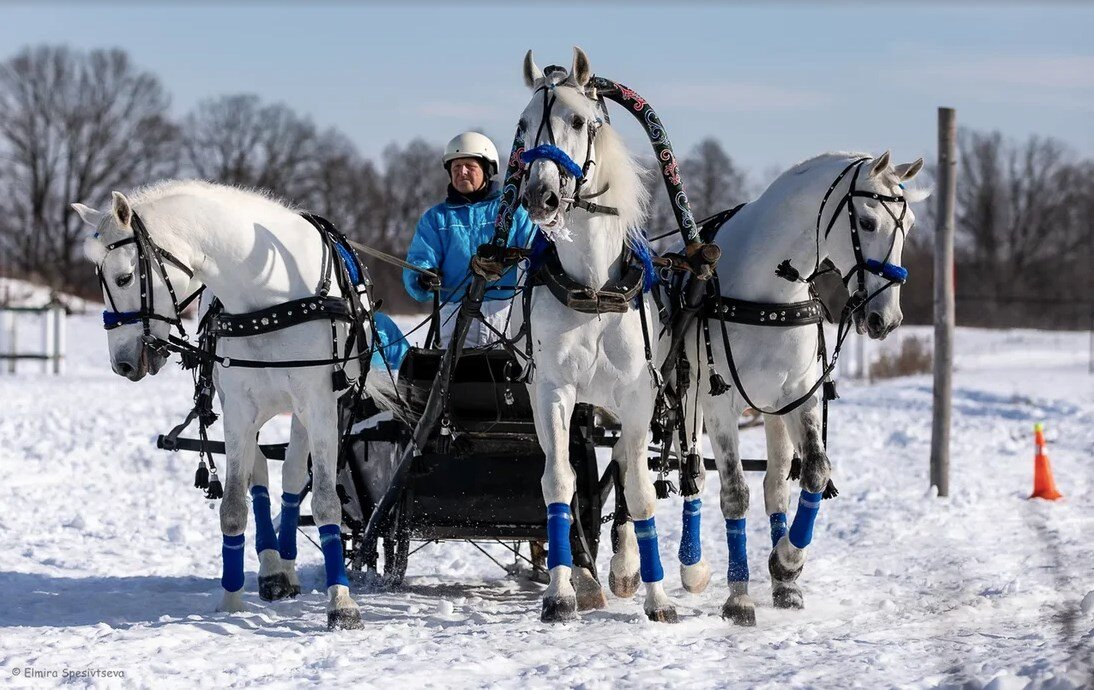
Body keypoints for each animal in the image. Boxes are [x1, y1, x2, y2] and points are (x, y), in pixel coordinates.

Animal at [72, 179, 391, 629]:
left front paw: (342, 604)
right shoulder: (239, 408)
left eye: (125, 276)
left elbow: (325, 502)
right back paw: (275, 570)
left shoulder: (318, 404)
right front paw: (231, 602)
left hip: (304, 412)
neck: (268, 296)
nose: (124, 363)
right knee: (260, 475)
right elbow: (235, 505)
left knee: (292, 475)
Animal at [511, 47, 673, 621]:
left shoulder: (638, 394)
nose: (540, 195)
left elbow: (639, 487)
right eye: (522, 125)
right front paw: (561, 592)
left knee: (624, 467)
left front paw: (657, 596)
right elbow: (560, 481)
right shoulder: (554, 390)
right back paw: (583, 574)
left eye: (579, 120)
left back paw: (623, 568)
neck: (594, 287)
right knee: (580, 474)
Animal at [673, 151, 932, 625]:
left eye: (909, 225)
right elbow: (733, 492)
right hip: (687, 398)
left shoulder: (799, 396)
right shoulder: (719, 405)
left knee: (775, 483)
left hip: (771, 410)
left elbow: (813, 472)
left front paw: (787, 564)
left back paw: (783, 584)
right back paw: (691, 566)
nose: (886, 320)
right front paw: (738, 597)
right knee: (690, 471)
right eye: (867, 222)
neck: (768, 289)